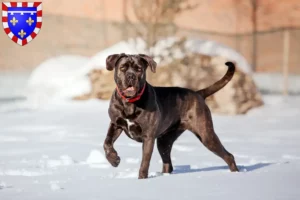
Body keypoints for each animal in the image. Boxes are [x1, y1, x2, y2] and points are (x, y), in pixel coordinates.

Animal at [103, 52, 239, 178]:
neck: (130, 102)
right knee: (168, 163)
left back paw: (236, 173)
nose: (131, 76)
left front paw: (142, 178)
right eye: (123, 68)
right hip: (164, 141)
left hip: (206, 134)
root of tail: (198, 94)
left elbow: (145, 162)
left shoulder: (148, 137)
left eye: (139, 69)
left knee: (228, 156)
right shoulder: (115, 124)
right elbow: (107, 142)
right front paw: (114, 160)